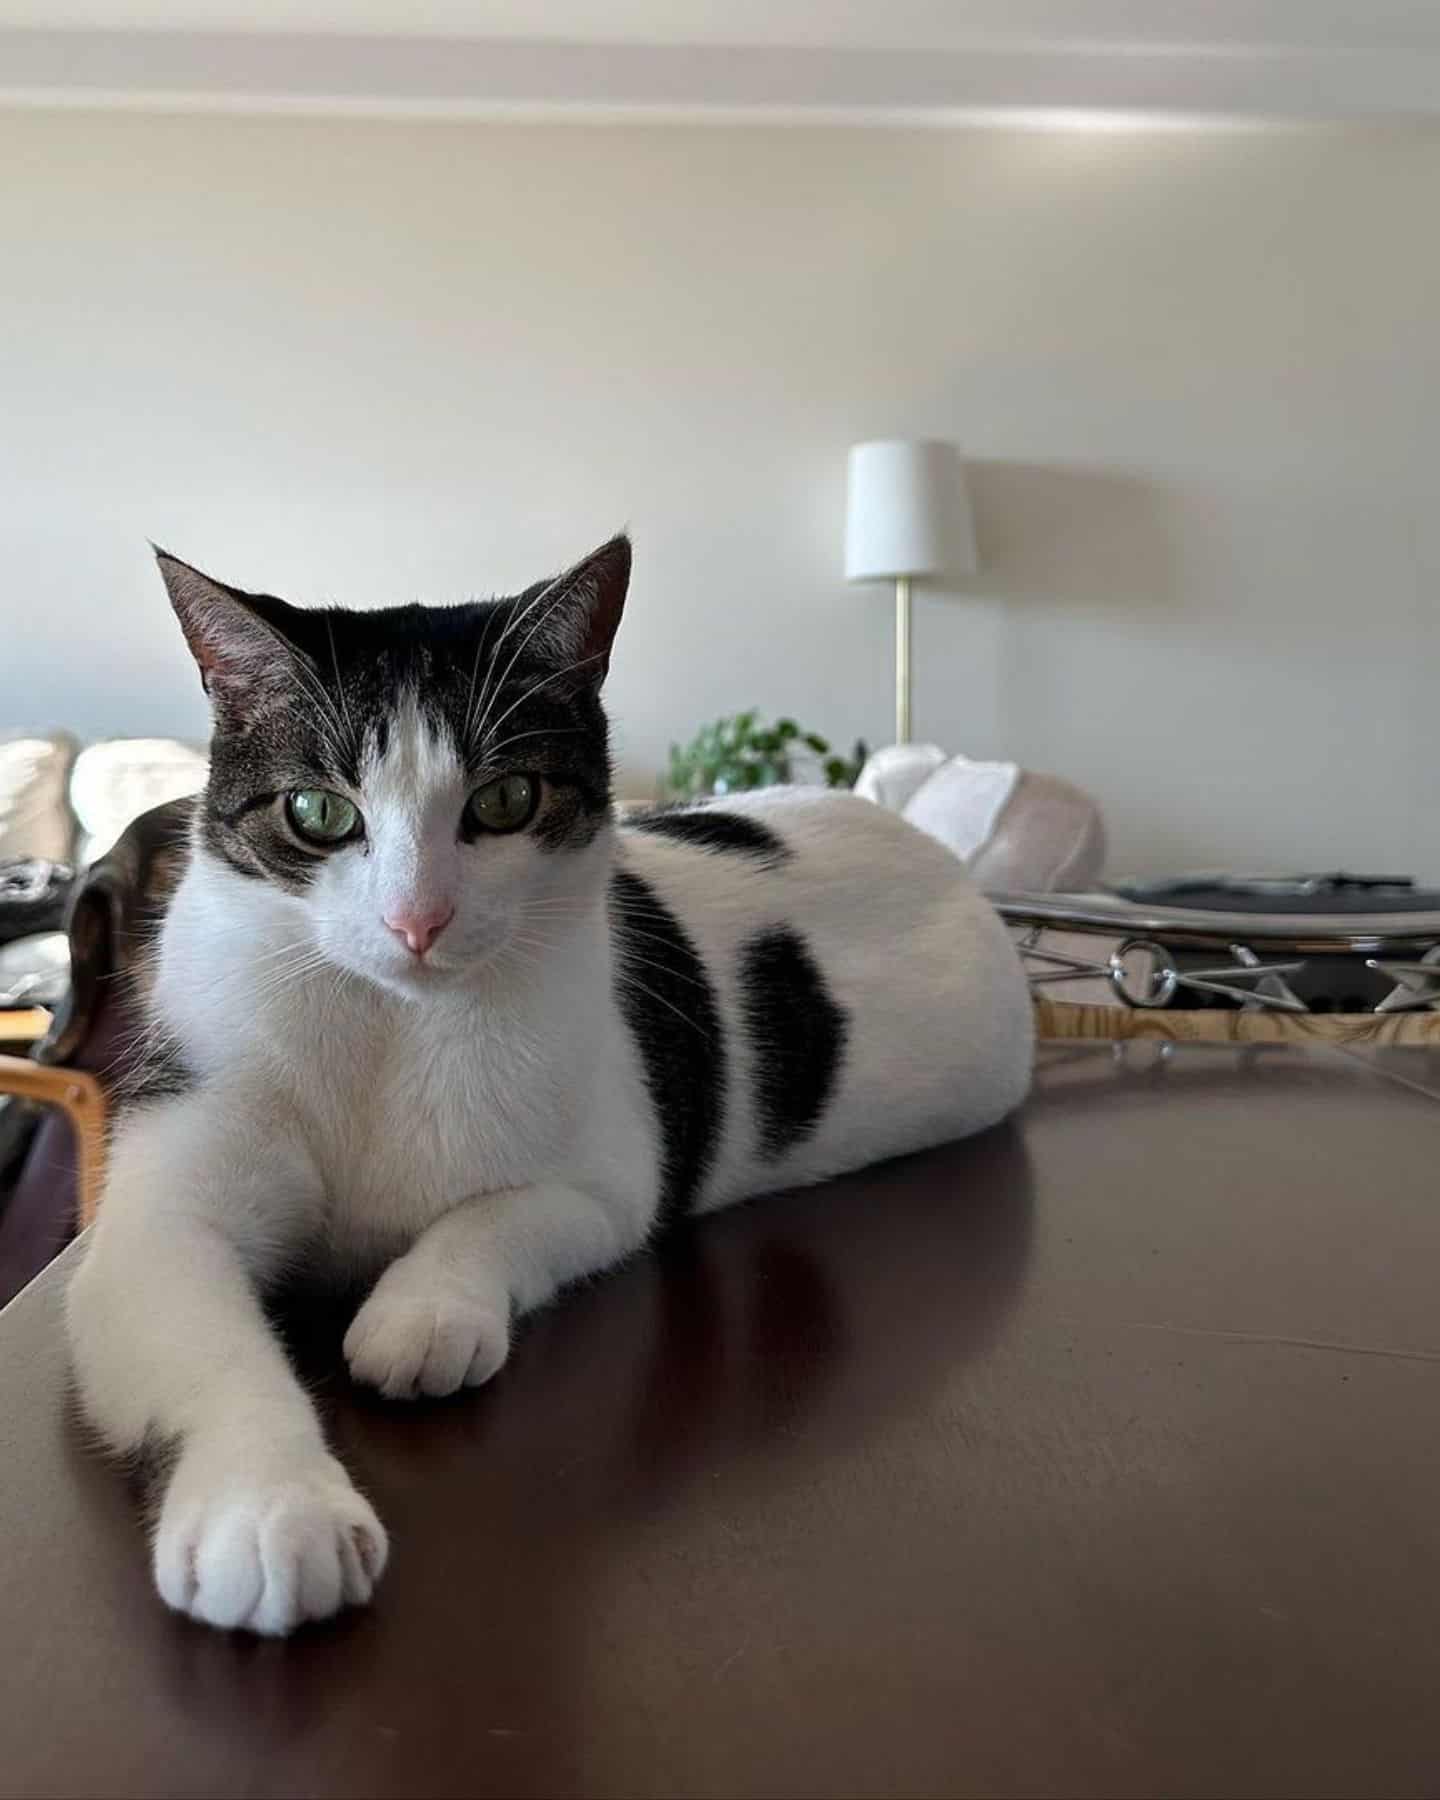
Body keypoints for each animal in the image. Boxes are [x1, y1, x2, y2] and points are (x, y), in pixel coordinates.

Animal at [64, 532, 1036, 1634]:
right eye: (316, 812)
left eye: (505, 801)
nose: (416, 921)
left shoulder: (609, 1180)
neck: (390, 1025)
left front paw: (425, 1310)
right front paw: (270, 1511)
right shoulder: (157, 1209)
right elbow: (206, 1330)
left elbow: (498, 1218)